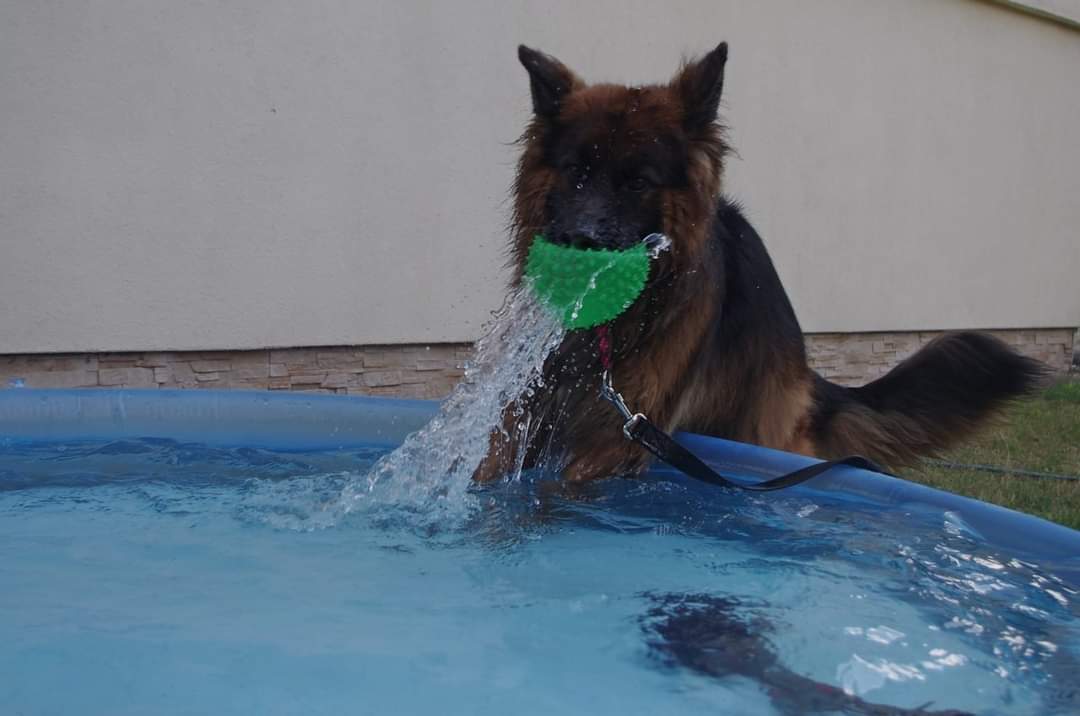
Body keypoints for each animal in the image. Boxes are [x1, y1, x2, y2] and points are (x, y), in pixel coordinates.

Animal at [474, 43, 1045, 484]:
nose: (577, 244)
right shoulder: (526, 412)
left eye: (638, 182)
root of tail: (806, 372)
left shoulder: (617, 436)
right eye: (576, 171)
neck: (612, 330)